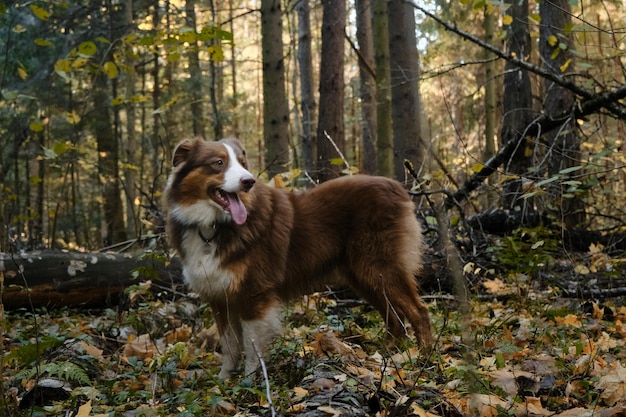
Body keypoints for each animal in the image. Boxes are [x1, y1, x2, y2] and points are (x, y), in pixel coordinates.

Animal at [163, 138, 432, 378]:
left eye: (242, 162)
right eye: (218, 163)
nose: (249, 181)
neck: (213, 227)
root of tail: (398, 187)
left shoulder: (255, 294)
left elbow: (252, 346)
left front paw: (252, 382)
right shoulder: (221, 298)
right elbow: (230, 346)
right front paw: (224, 382)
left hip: (380, 267)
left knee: (418, 311)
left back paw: (424, 358)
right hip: (363, 276)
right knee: (394, 317)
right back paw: (386, 357)